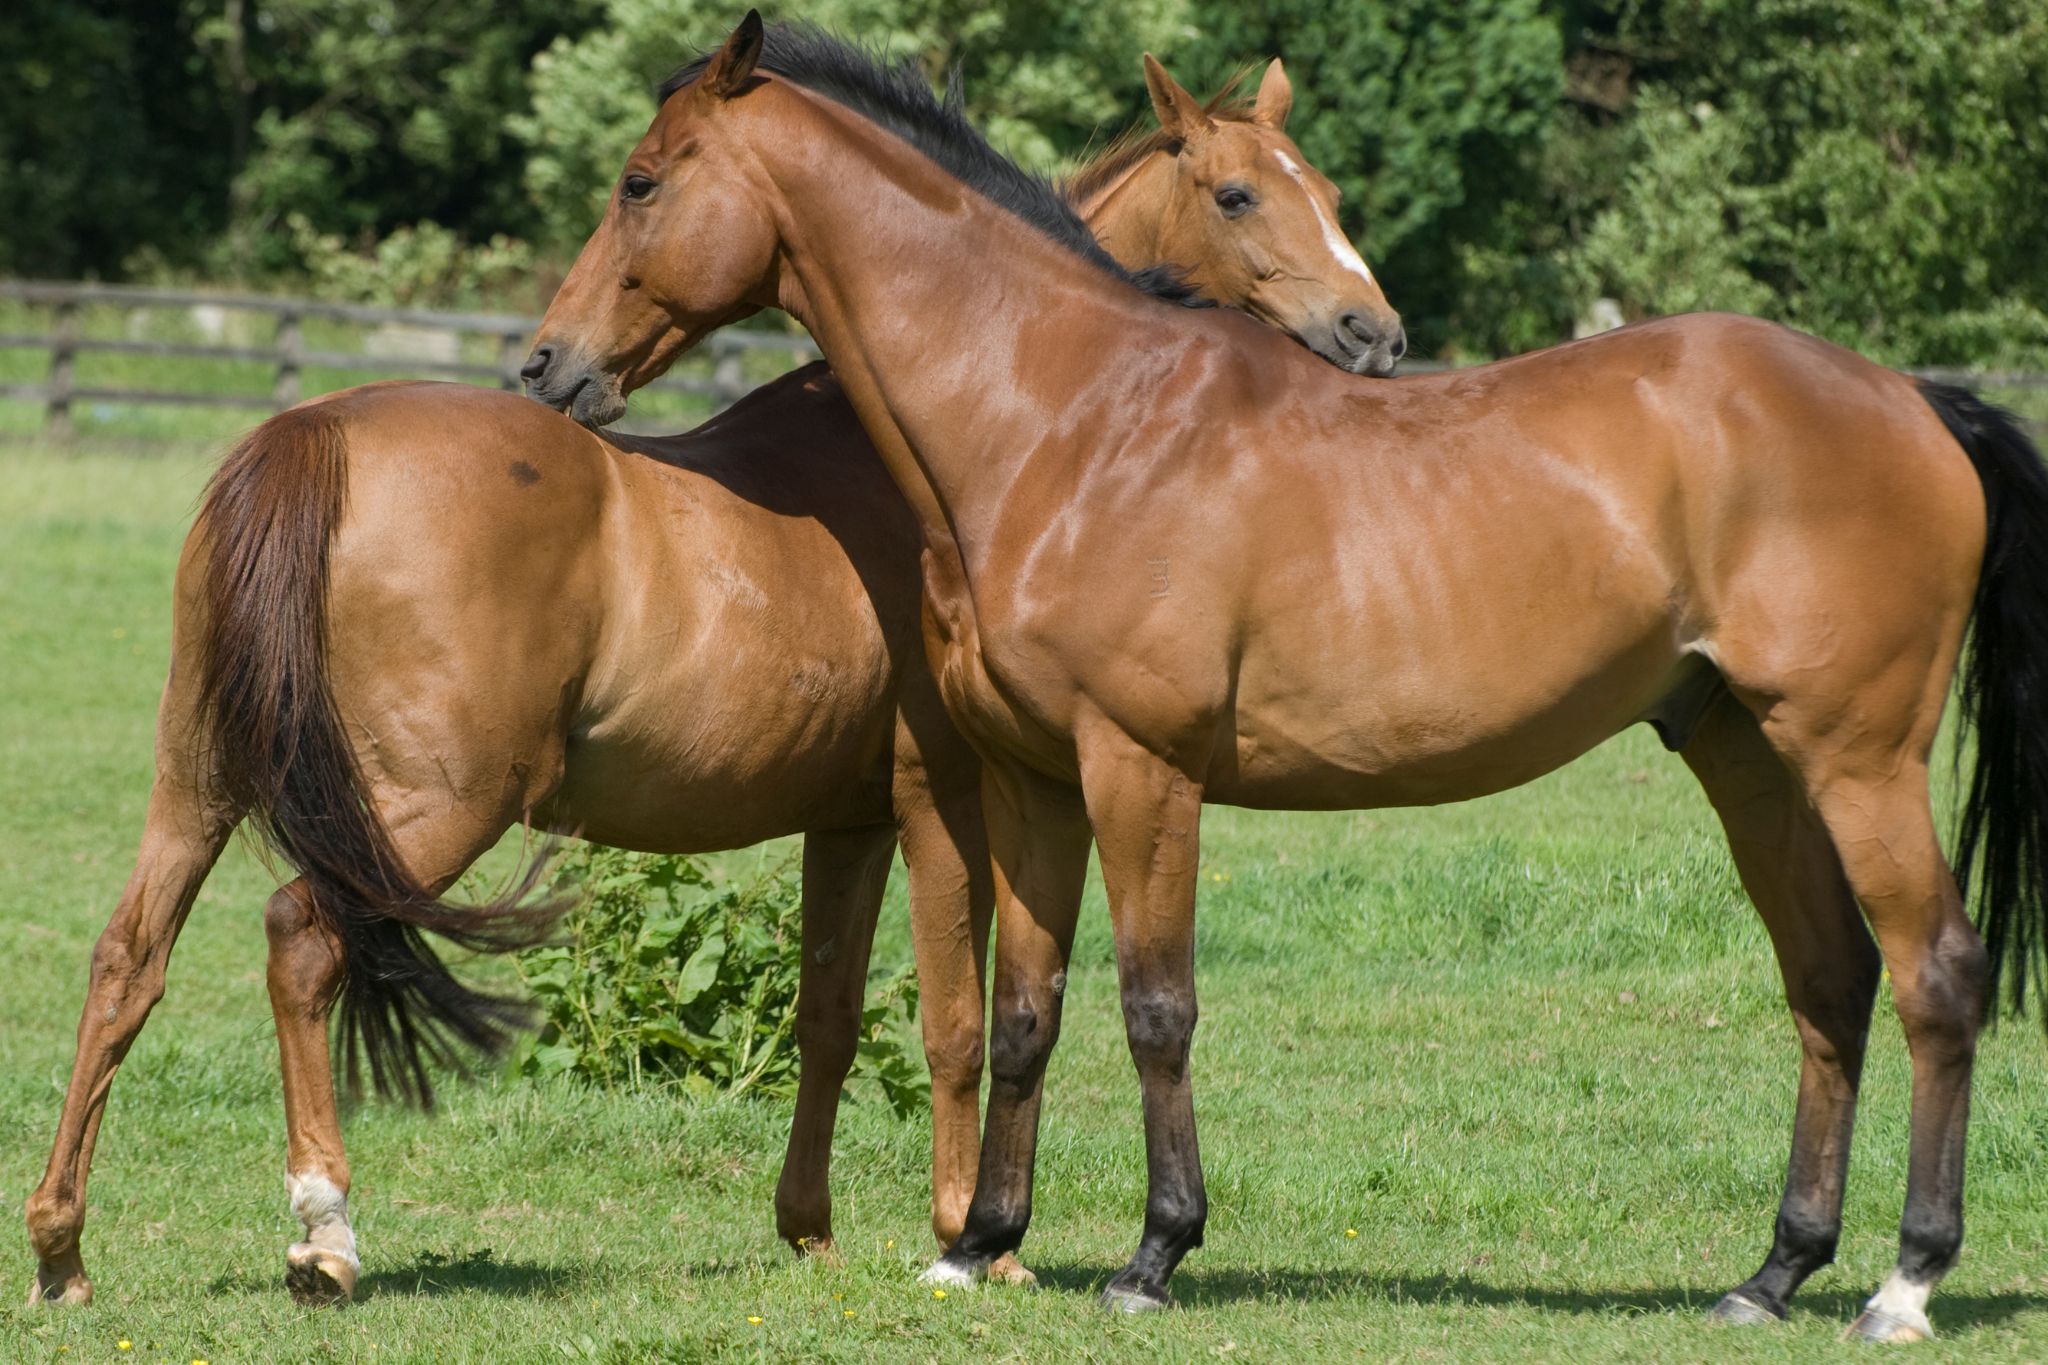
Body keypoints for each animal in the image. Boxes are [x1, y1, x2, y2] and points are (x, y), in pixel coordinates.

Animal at [22, 51, 1396, 1309]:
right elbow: (958, 1024)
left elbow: (827, 1014)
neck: (978, 433)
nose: (1372, 337)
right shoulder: (945, 800)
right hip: (430, 809)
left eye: (1321, 188)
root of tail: (311, 433)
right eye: (1235, 194)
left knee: (127, 962)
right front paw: (970, 1238)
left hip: (198, 786)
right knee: (302, 940)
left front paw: (812, 1230)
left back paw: (61, 1250)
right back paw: (323, 1236)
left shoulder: (847, 820)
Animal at [523, 17, 2048, 1343]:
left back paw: (1902, 1286)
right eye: (1240, 195)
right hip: (1743, 753)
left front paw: (1151, 1254)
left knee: (1935, 975)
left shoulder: (1140, 770)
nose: (546, 363)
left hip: (1855, 757)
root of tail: (1911, 397)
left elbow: (1155, 1006)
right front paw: (978, 1246)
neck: (1069, 416)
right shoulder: (1027, 780)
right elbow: (1023, 1011)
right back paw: (1771, 1275)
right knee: (1829, 979)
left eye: (641, 180)